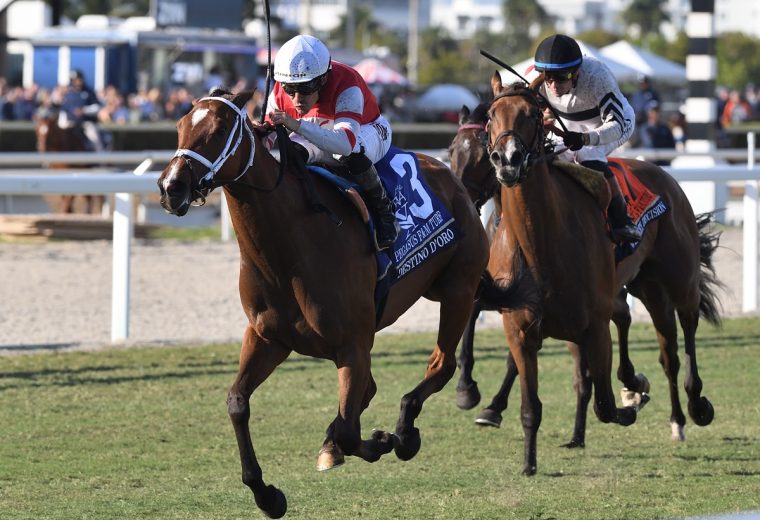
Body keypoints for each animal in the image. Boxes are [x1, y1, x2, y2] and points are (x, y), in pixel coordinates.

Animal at [156, 89, 530, 517]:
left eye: (218, 130)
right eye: (181, 126)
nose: (170, 187)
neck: (288, 248)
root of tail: (450, 176)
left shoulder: (352, 345)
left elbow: (352, 430)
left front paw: (385, 440)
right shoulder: (268, 338)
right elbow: (238, 403)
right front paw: (267, 494)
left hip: (457, 289)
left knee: (442, 364)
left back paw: (408, 428)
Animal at [451, 73, 721, 476]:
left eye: (533, 115)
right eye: (489, 124)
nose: (508, 160)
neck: (540, 242)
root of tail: (663, 175)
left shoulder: (592, 322)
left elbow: (605, 402)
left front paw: (632, 398)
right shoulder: (517, 316)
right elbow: (532, 397)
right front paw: (514, 442)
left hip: (678, 280)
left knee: (682, 336)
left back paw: (690, 409)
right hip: (645, 285)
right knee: (658, 348)